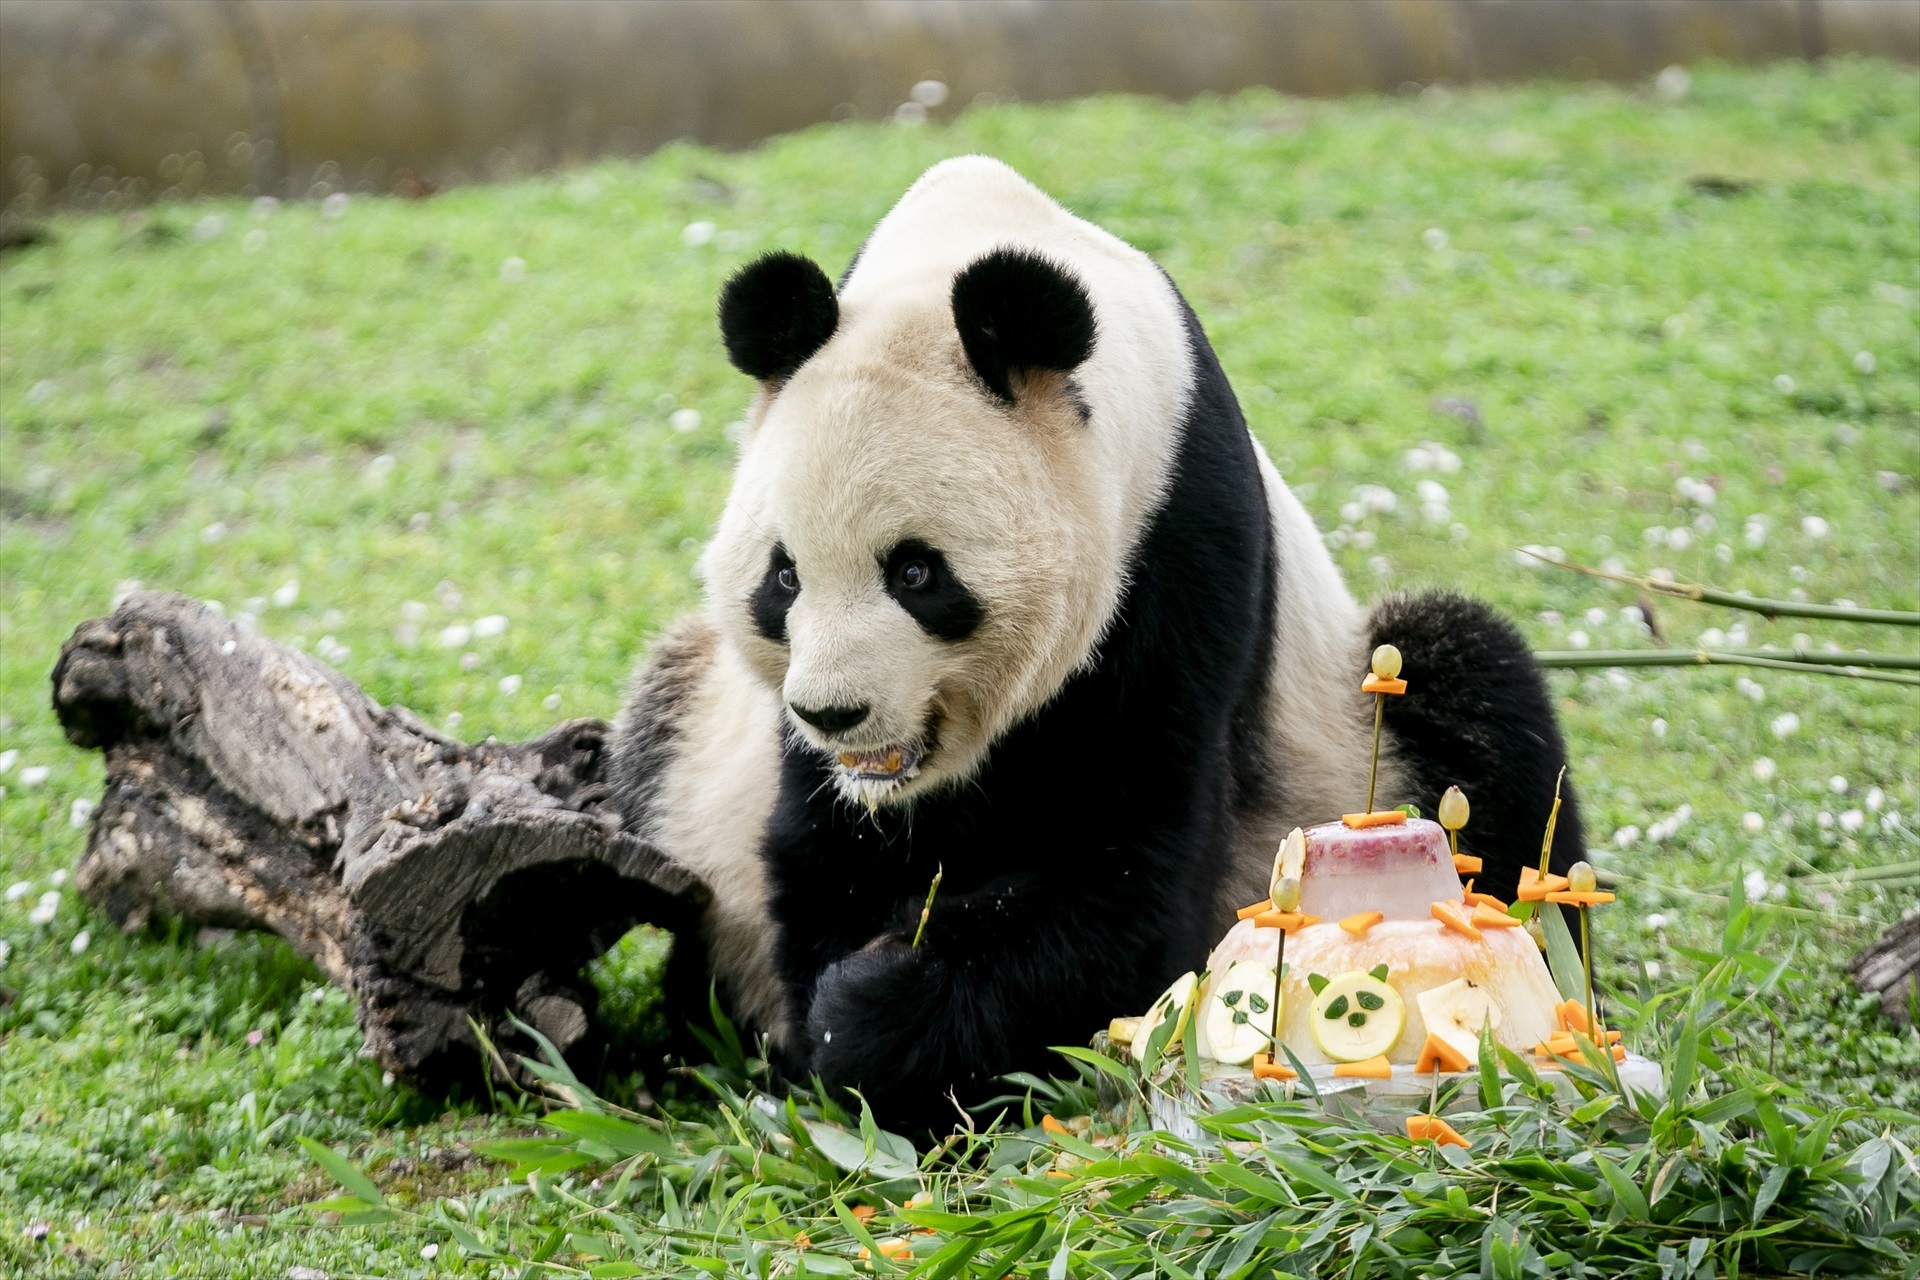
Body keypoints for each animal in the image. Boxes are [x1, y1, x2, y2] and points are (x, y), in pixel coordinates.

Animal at [606, 157, 1582, 1128]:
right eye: (784, 578)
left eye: (916, 574)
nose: (833, 713)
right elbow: (817, 852)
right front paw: (835, 1020)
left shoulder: (1178, 556)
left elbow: (1129, 870)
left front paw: (877, 1012)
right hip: (695, 760)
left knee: (1475, 698)